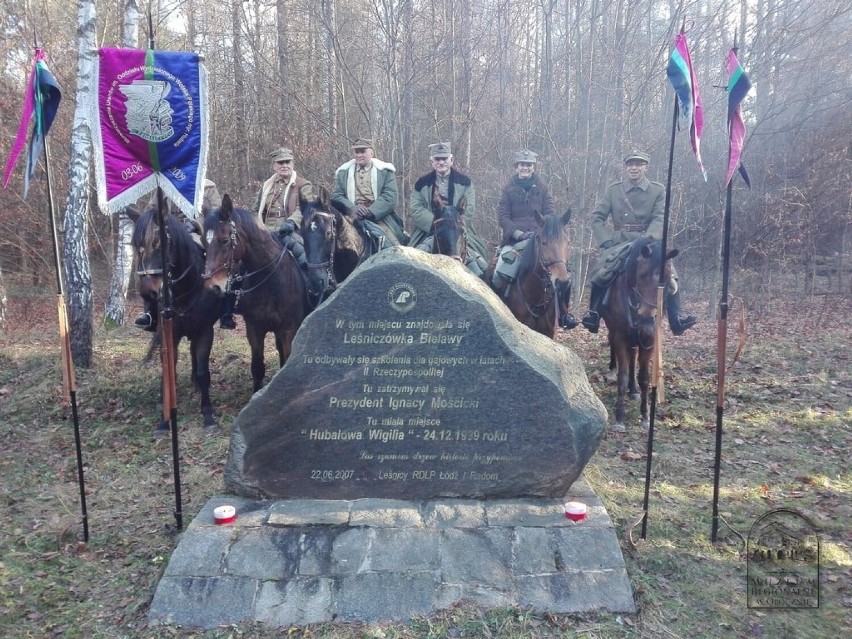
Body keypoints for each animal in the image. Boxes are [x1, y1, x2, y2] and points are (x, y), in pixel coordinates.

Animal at [130, 209, 223, 430]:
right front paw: (165, 419)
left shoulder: (205, 331)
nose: (147, 292)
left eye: (159, 243)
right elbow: (168, 369)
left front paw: (208, 414)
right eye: (136, 246)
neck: (186, 291)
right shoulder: (169, 333)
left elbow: (203, 370)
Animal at [201, 192, 308, 392]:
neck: (270, 280)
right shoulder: (254, 329)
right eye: (204, 242)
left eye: (225, 240)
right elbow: (257, 368)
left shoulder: (289, 330)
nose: (212, 286)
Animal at [604, 238, 684, 432]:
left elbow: (644, 379)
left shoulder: (649, 342)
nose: (647, 322)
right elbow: (622, 377)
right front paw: (619, 418)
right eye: (641, 275)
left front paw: (646, 417)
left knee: (633, 357)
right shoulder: (620, 338)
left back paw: (633, 391)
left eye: (668, 280)